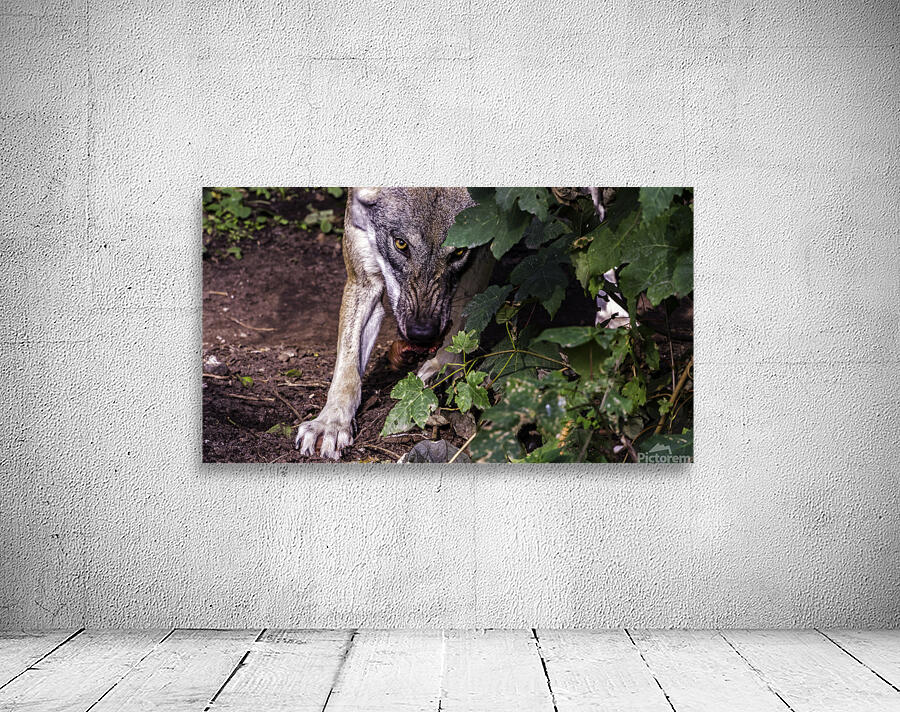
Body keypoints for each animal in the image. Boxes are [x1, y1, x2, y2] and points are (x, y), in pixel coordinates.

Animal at [295, 187, 494, 459]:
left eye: (459, 252)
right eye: (401, 244)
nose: (422, 333)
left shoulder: (484, 247)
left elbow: (464, 318)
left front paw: (443, 367)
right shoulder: (362, 279)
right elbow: (347, 366)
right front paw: (331, 423)